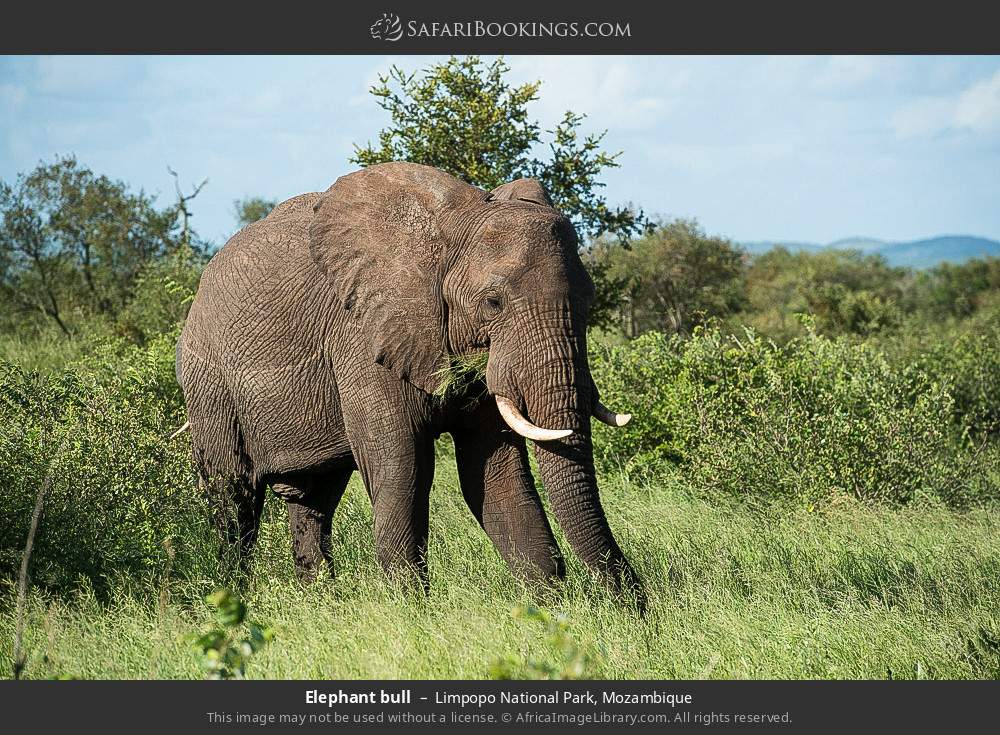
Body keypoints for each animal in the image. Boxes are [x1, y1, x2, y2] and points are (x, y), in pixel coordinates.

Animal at [175, 162, 643, 603]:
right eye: (493, 303)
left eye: (589, 299)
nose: (636, 605)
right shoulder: (361, 336)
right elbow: (402, 467)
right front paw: (413, 609)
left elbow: (497, 477)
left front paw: (547, 609)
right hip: (207, 381)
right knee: (234, 498)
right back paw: (230, 598)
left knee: (314, 501)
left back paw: (320, 601)